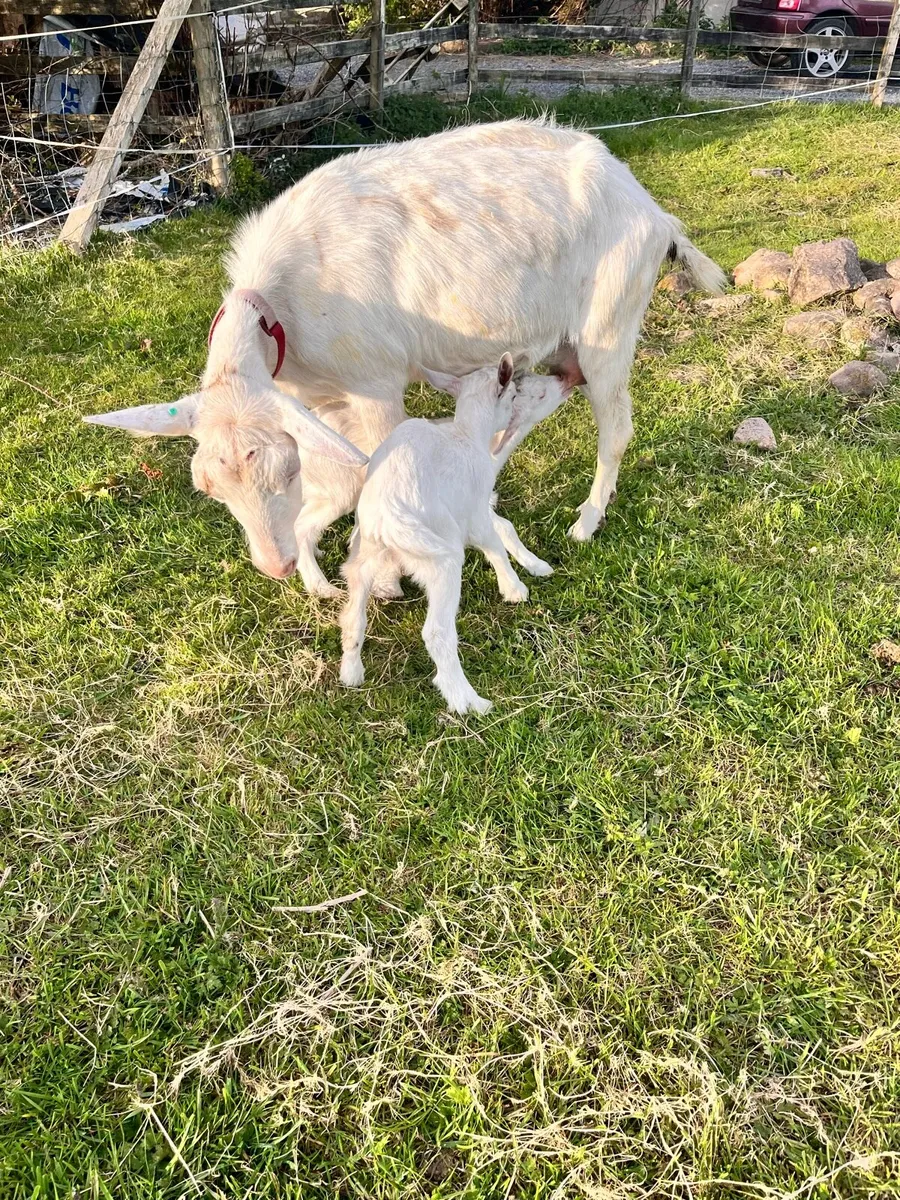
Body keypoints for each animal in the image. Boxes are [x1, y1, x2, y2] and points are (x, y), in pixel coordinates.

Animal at [83, 119, 724, 582]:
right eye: (206, 489)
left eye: (287, 470)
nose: (276, 566)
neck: (282, 301)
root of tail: (654, 211)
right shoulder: (320, 398)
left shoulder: (375, 383)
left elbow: (376, 467)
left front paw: (385, 574)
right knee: (546, 395)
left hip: (611, 321)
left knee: (615, 425)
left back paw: (587, 522)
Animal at [339, 358, 573, 715]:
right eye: (515, 393)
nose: (564, 384)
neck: (466, 434)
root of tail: (386, 522)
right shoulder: (473, 509)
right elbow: (494, 542)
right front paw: (515, 588)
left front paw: (530, 568)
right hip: (440, 556)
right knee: (436, 631)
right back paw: (467, 701)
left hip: (363, 555)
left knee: (353, 614)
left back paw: (351, 673)